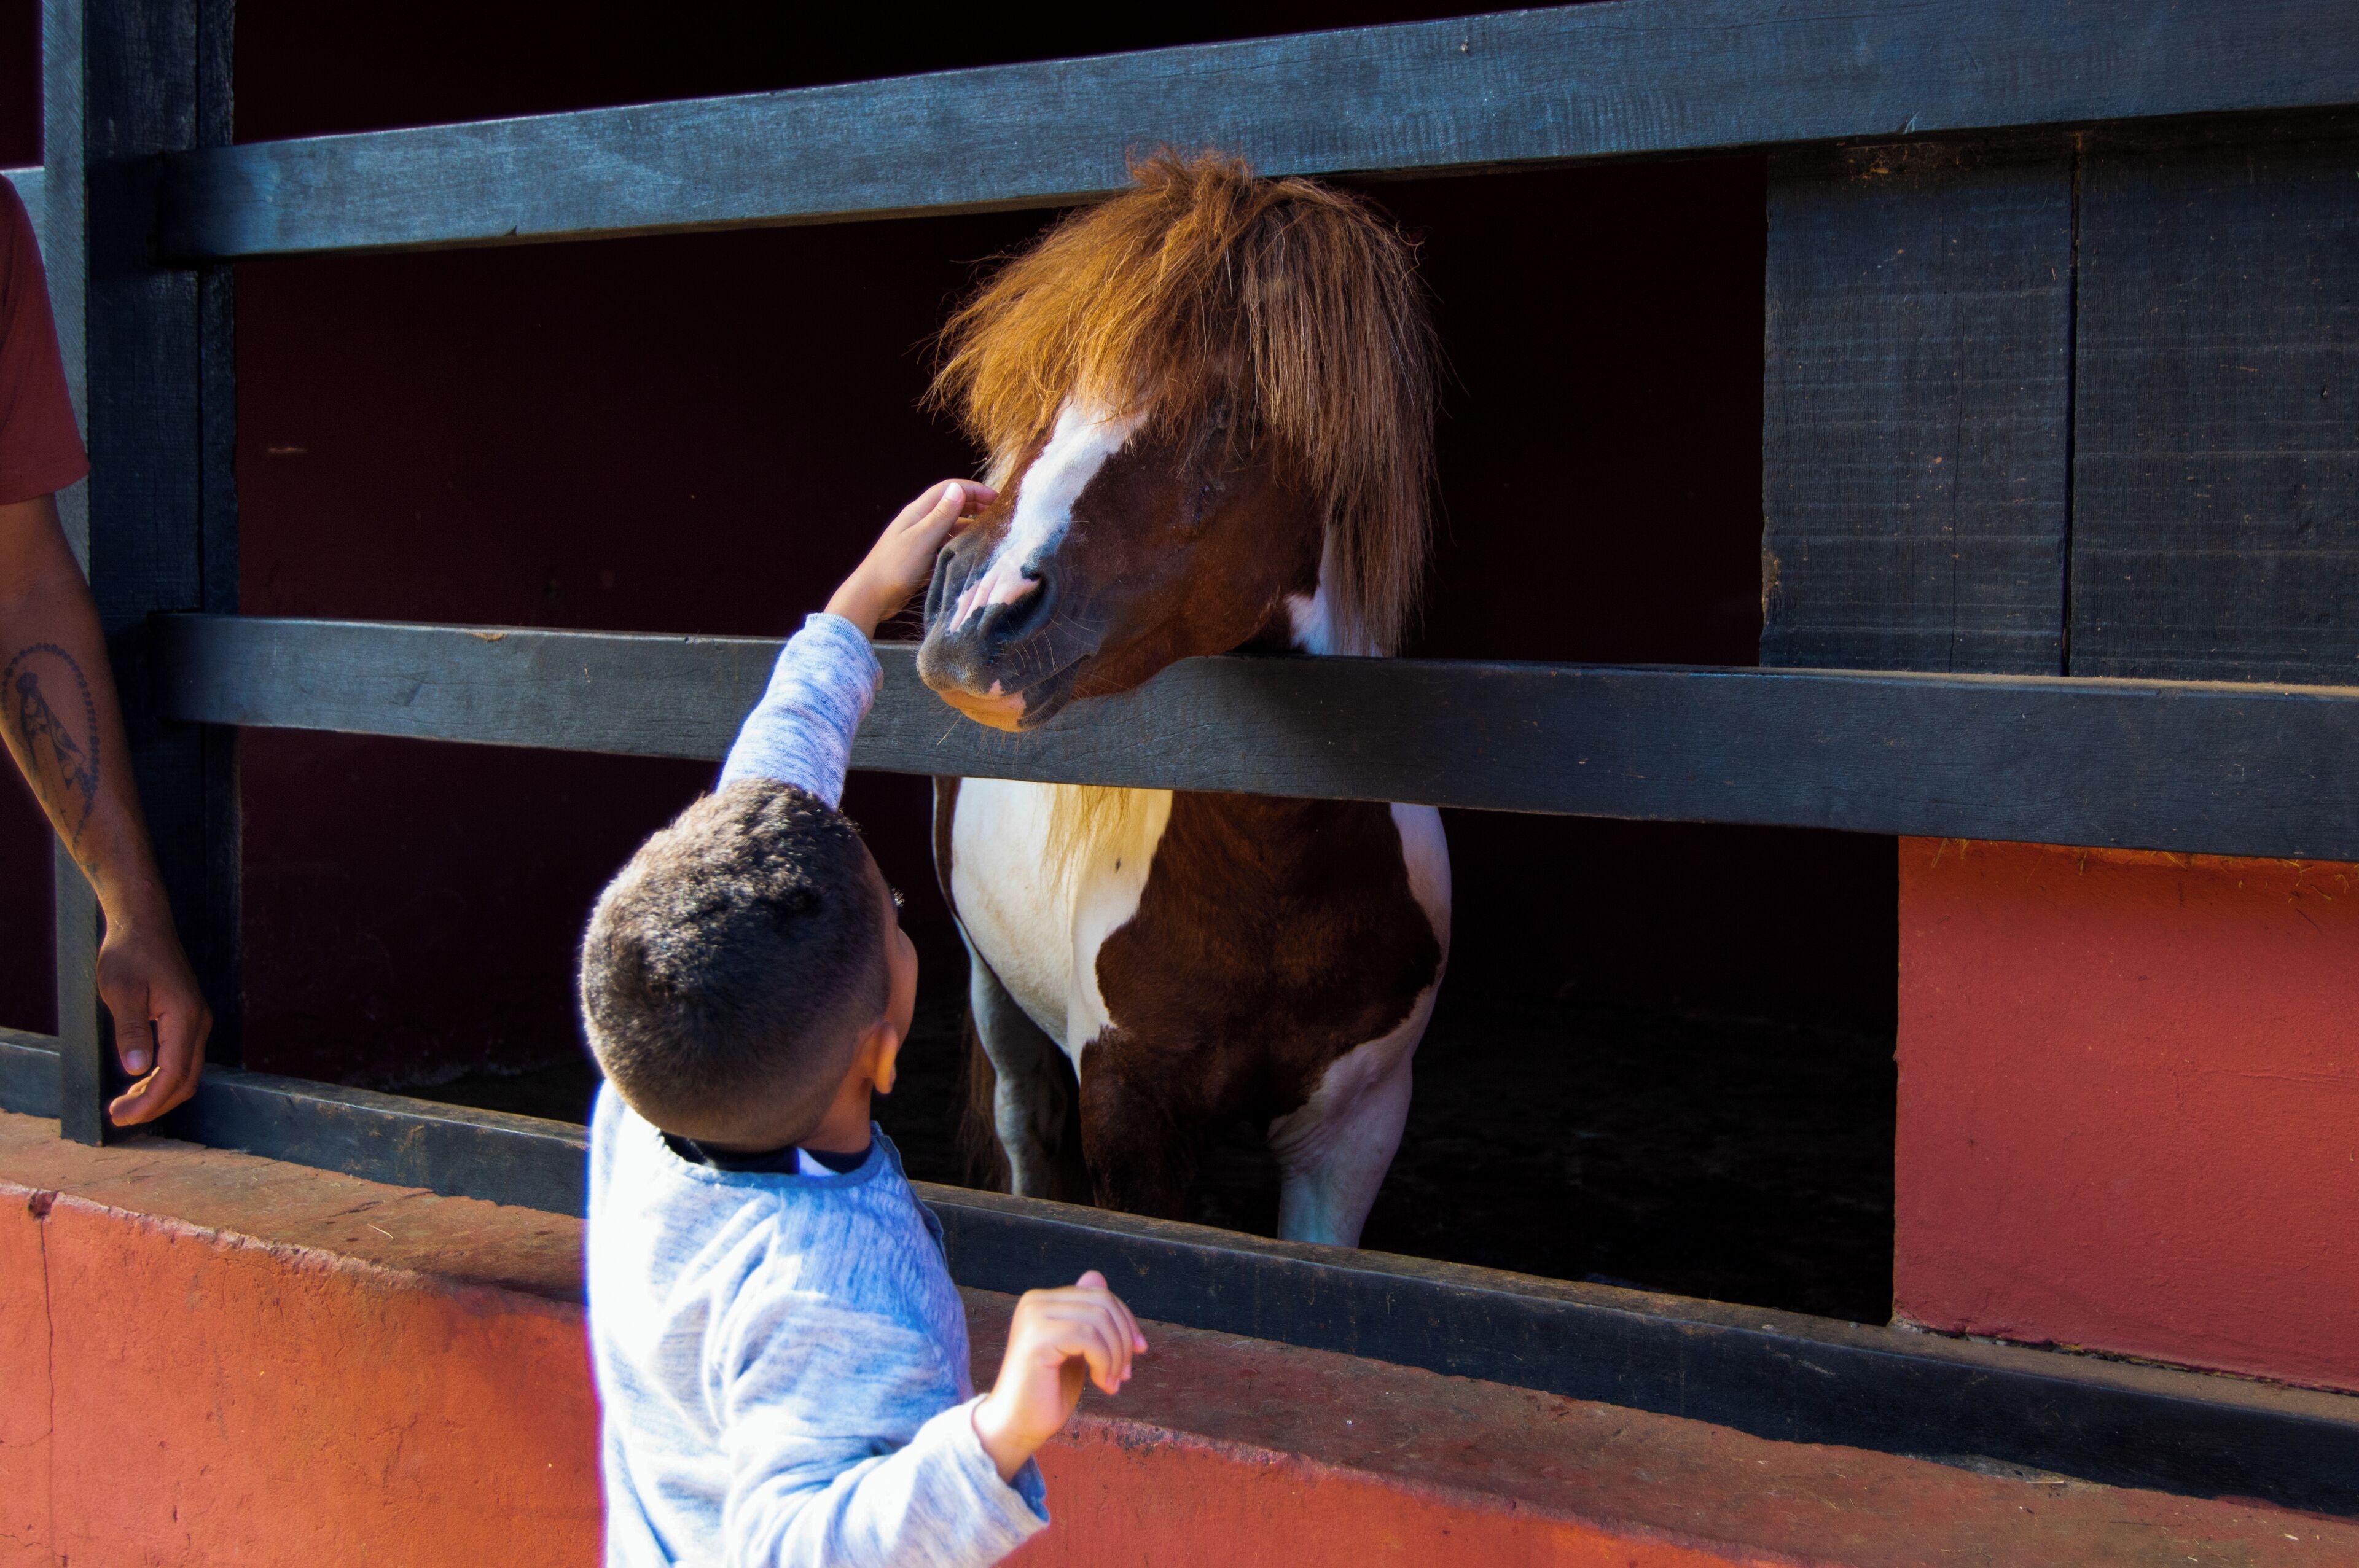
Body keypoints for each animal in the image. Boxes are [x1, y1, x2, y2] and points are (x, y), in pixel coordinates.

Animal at [915, 153, 1448, 1247]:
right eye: (1050, 396)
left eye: (1233, 414)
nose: (970, 621)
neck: (1275, 878)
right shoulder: (1131, 1108)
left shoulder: (1355, 1129)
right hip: (995, 993)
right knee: (1027, 1132)